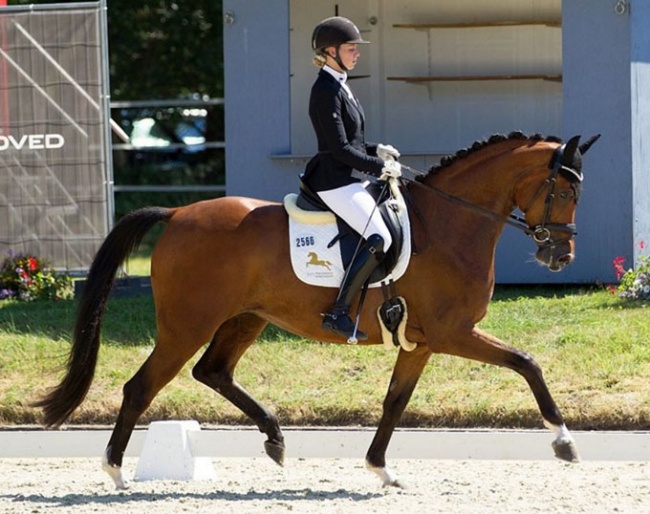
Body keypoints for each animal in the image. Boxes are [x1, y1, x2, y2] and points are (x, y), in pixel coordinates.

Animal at [34, 130, 596, 486]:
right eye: (566, 189)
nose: (561, 255)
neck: (448, 225)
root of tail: (176, 214)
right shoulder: (453, 333)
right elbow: (528, 363)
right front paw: (564, 442)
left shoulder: (420, 342)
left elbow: (395, 402)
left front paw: (381, 469)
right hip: (186, 325)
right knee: (142, 387)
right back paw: (115, 472)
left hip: (245, 319)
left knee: (212, 372)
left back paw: (276, 439)